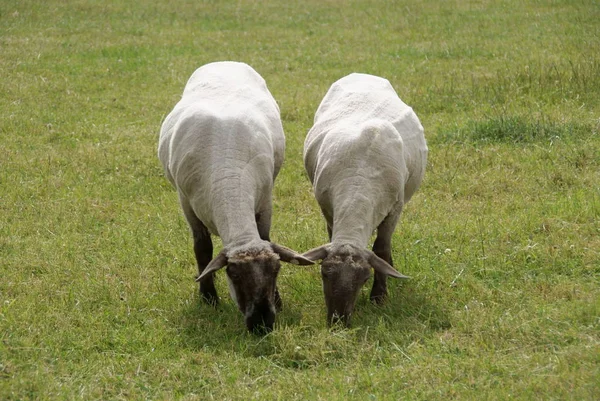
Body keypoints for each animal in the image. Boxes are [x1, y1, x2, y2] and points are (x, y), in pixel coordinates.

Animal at [158, 61, 314, 332]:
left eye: (276, 271)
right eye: (234, 274)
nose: (261, 324)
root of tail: (223, 62)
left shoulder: (265, 200)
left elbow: (265, 236)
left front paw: (278, 301)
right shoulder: (186, 203)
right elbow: (202, 248)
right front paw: (208, 298)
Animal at [304, 73, 426, 326]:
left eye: (364, 279)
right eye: (324, 273)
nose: (338, 321)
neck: (358, 186)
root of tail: (361, 74)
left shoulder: (394, 210)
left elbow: (382, 249)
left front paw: (379, 296)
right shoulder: (327, 210)